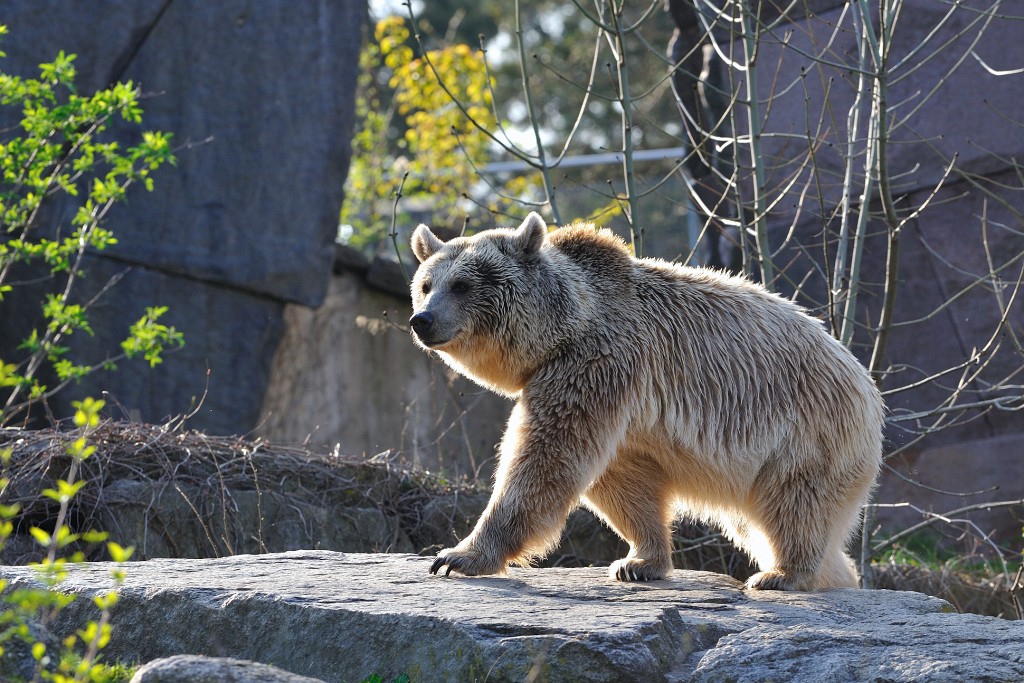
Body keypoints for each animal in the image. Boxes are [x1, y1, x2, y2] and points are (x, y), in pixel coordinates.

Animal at [405, 211, 880, 589]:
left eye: (462, 284)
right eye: (426, 284)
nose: (421, 320)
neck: (559, 335)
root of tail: (863, 379)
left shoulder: (595, 364)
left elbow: (543, 460)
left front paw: (457, 556)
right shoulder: (615, 405)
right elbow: (620, 480)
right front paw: (638, 561)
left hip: (803, 431)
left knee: (794, 505)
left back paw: (782, 574)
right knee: (759, 524)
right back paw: (838, 576)